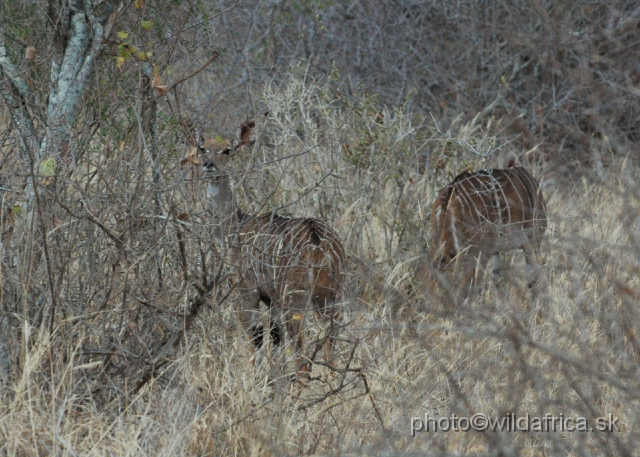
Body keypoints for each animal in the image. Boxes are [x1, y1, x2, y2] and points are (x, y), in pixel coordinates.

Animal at [191, 114, 344, 382]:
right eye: (202, 148)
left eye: (227, 150)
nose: (209, 165)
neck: (234, 227)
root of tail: (319, 245)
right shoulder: (271, 300)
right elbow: (274, 340)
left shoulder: (247, 291)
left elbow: (253, 339)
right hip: (331, 298)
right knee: (333, 351)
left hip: (295, 300)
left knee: (302, 360)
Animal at [428, 157, 548, 298]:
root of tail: (452, 192)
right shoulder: (531, 239)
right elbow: (534, 279)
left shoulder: (497, 250)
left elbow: (498, 280)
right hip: (477, 250)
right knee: (465, 288)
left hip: (439, 245)